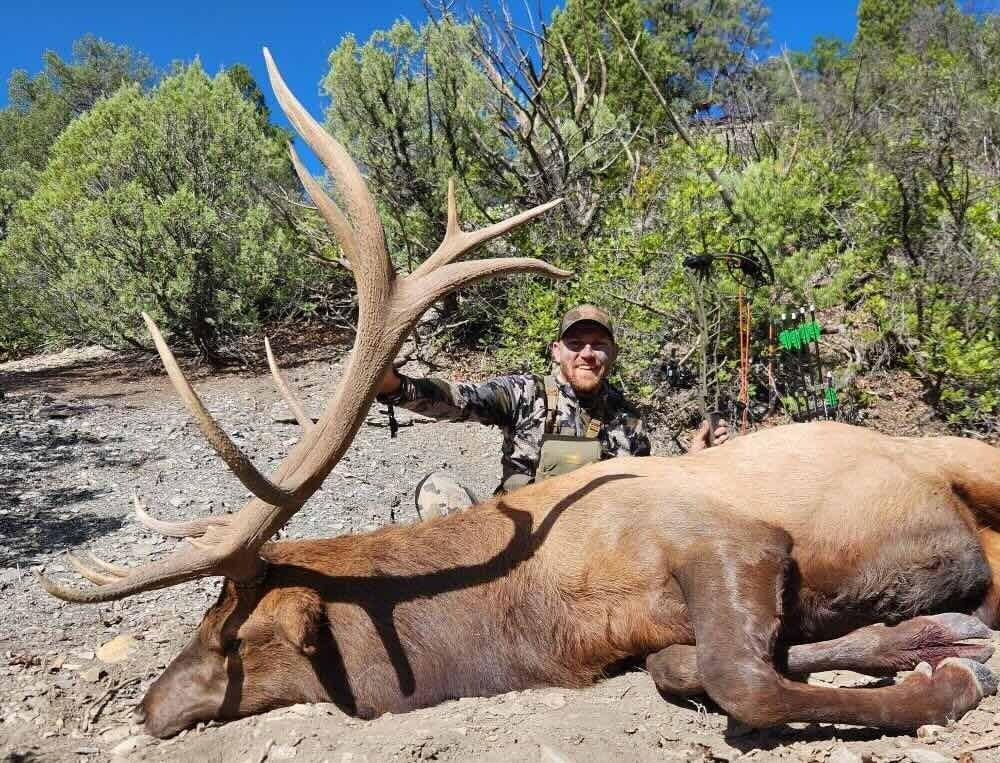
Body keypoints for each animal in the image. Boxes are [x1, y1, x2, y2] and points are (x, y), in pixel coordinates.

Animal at [39, 49, 1000, 740]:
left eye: (226, 633)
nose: (146, 706)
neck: (536, 617)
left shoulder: (731, 538)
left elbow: (745, 683)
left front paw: (947, 678)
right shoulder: (661, 627)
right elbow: (695, 667)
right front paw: (937, 638)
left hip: (966, 456)